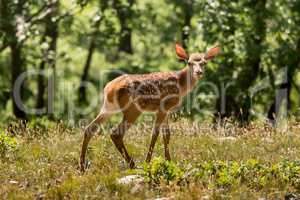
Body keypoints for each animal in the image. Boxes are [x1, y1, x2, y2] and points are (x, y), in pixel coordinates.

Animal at [79, 43, 220, 172]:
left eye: (204, 63)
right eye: (189, 63)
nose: (198, 72)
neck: (181, 85)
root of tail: (109, 88)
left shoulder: (167, 110)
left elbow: (166, 135)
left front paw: (169, 161)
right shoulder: (163, 107)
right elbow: (155, 134)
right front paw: (148, 162)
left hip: (108, 108)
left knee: (90, 129)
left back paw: (82, 166)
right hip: (133, 109)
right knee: (116, 133)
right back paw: (133, 164)